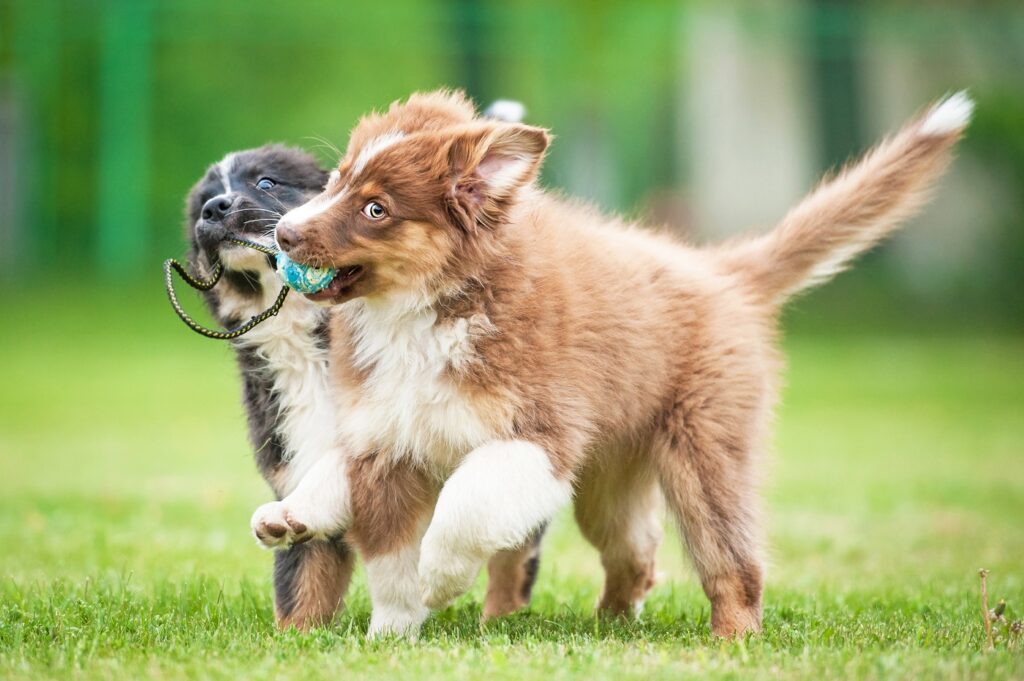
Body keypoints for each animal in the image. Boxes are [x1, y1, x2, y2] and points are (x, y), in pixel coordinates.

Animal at [251, 87, 970, 634]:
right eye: (336, 180)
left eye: (376, 208)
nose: (282, 233)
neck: (426, 310)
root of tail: (722, 270)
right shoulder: (386, 440)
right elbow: (387, 551)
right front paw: (392, 631)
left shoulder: (538, 436)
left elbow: (464, 506)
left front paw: (438, 578)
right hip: (611, 481)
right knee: (637, 551)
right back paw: (611, 623)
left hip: (704, 453)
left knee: (732, 559)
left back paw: (732, 639)